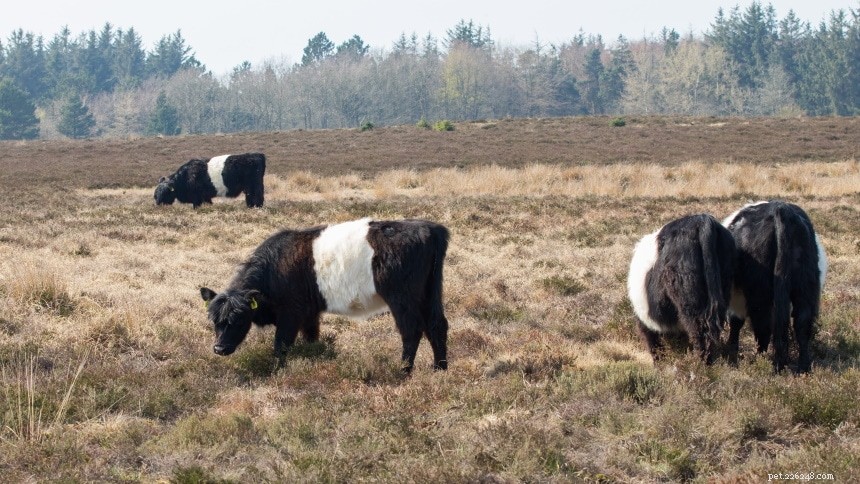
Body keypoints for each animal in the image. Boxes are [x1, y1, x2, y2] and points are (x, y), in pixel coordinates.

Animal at [199, 218, 450, 373]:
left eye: (239, 320)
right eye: (214, 321)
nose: (219, 349)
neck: (274, 269)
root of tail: (429, 228)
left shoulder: (291, 314)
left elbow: (281, 345)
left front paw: (278, 371)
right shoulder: (310, 314)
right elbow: (312, 339)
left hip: (402, 298)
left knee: (412, 330)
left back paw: (403, 371)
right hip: (430, 293)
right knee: (436, 325)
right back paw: (439, 369)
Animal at [627, 214, 736, 363]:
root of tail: (702, 220)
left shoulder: (645, 323)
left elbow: (654, 345)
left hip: (689, 299)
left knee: (700, 331)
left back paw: (699, 363)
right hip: (724, 283)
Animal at [722, 201, 827, 373]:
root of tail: (782, 210)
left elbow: (736, 322)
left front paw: (730, 352)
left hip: (760, 294)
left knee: (763, 325)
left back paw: (765, 361)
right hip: (805, 288)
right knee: (802, 324)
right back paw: (803, 367)